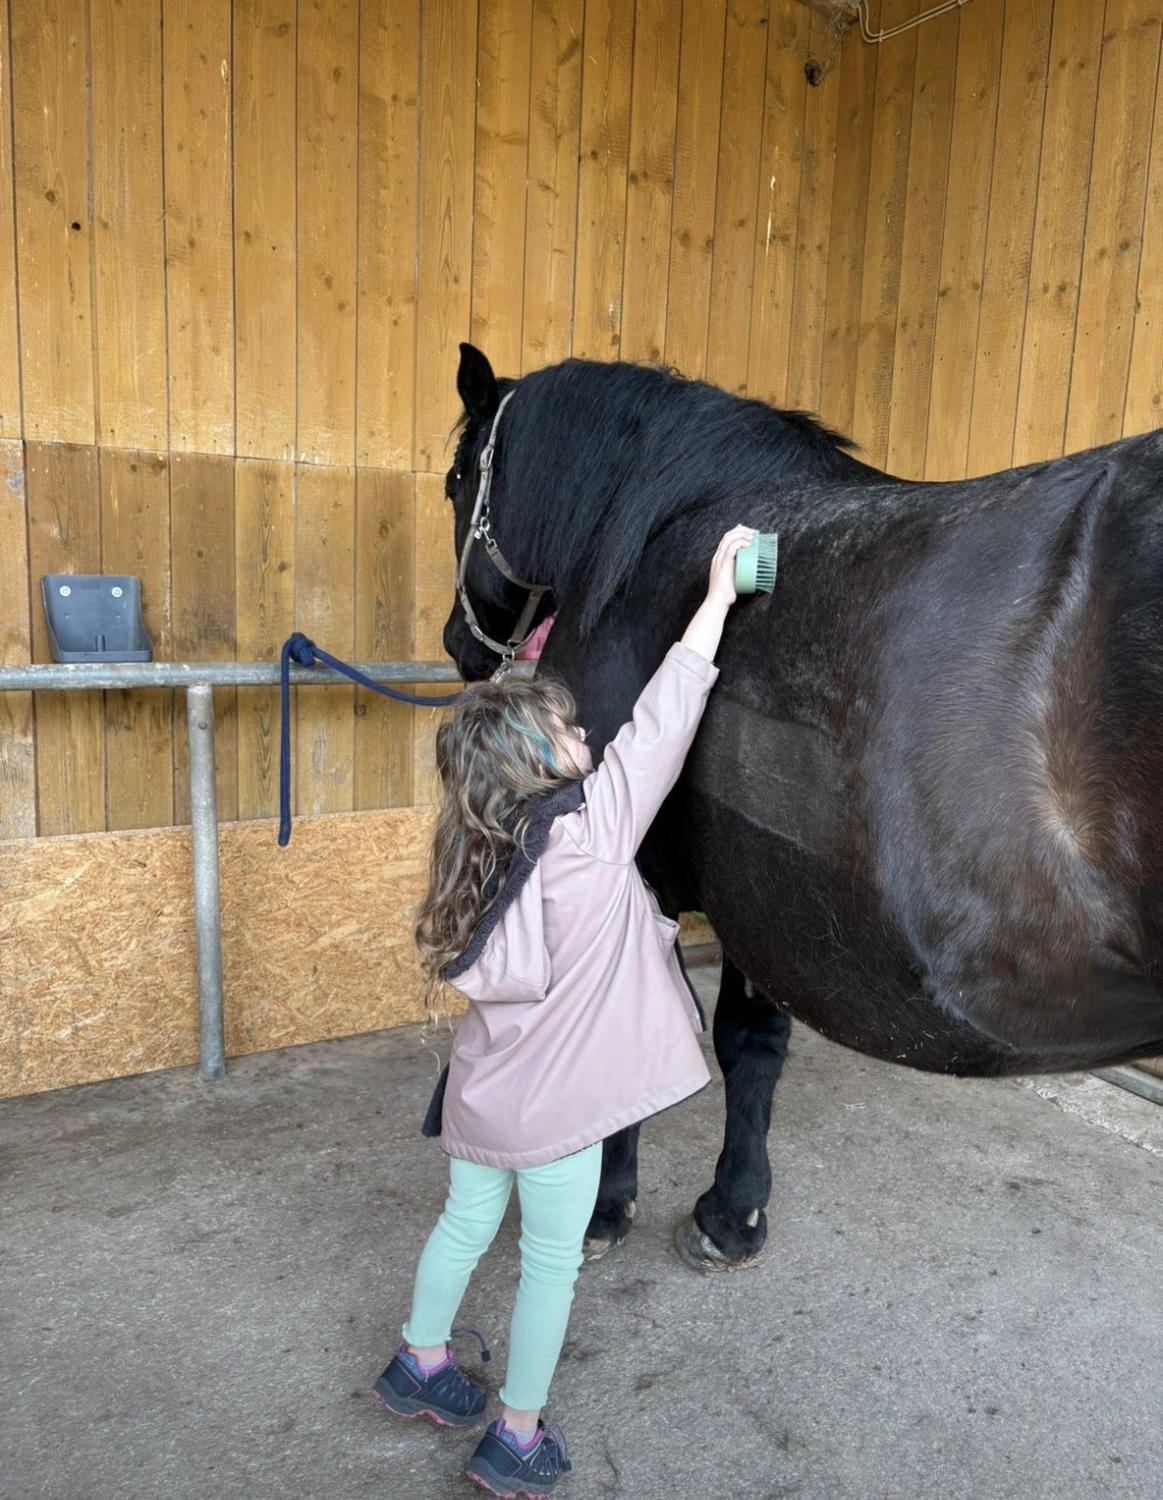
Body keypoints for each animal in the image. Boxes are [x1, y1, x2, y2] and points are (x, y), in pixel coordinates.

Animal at [441, 341, 1163, 1273]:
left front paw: (608, 1204)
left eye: (456, 480)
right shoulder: (772, 892)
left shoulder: (639, 873)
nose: (458, 646)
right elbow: (752, 1045)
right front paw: (734, 1213)